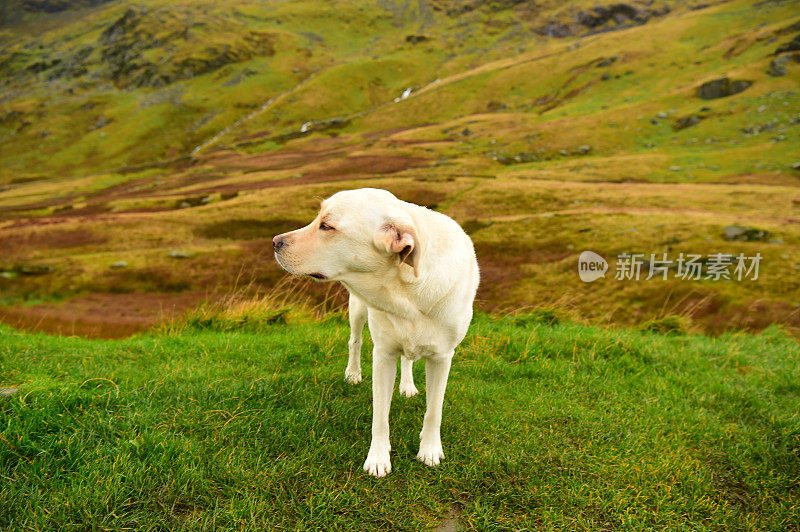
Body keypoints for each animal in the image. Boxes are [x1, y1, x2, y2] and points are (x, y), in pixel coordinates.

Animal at [272, 188, 478, 478]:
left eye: (327, 226)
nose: (275, 241)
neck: (406, 291)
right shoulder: (383, 355)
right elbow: (380, 416)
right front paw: (378, 458)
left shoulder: (443, 357)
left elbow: (434, 410)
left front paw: (429, 450)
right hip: (357, 311)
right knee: (354, 342)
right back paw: (353, 373)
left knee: (408, 359)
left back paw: (407, 386)